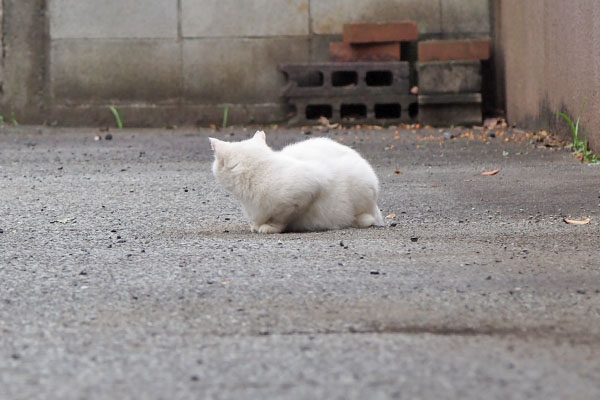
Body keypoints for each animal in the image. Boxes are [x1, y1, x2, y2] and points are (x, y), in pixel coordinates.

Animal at [209, 130, 382, 233]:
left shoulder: (309, 186)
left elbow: (281, 218)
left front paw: (269, 227)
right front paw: (257, 225)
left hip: (362, 187)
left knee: (367, 217)